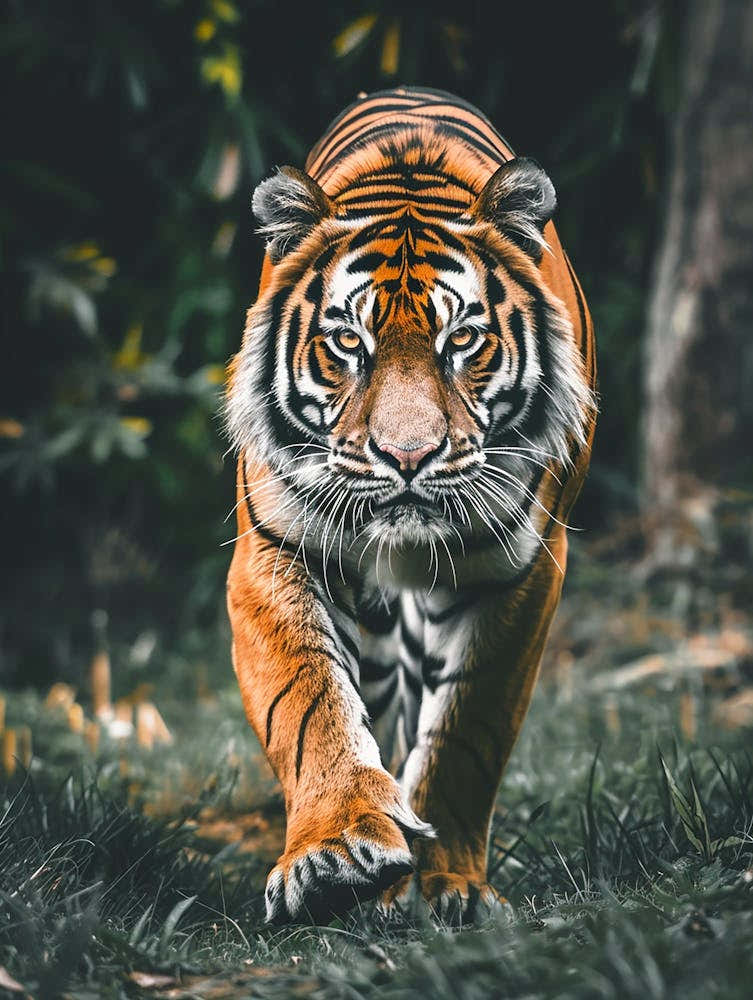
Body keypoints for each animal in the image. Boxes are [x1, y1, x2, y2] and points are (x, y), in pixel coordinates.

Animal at [225, 86, 596, 924]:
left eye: (462, 339)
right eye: (347, 342)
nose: (406, 457)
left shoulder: (520, 570)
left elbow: (467, 729)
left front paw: (443, 885)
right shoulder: (276, 550)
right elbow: (309, 702)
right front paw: (334, 852)